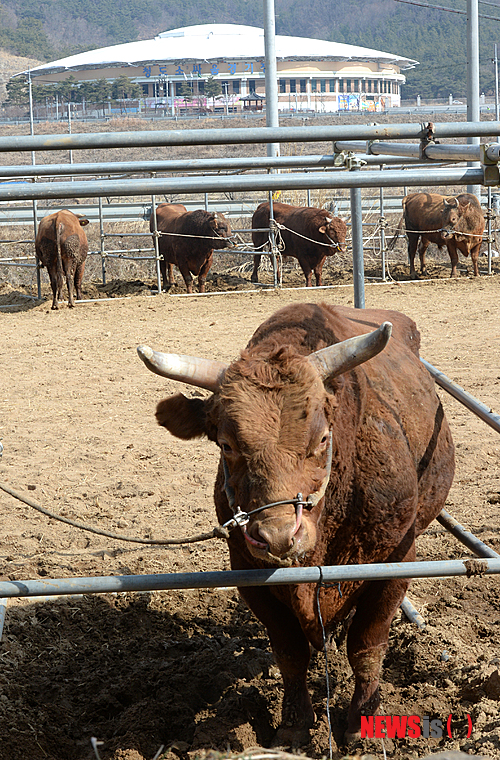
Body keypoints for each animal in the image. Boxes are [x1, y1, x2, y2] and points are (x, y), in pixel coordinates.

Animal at [136, 304, 454, 748]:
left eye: (321, 438)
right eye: (226, 445)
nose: (278, 536)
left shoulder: (396, 562)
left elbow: (366, 646)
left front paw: (363, 722)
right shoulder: (247, 571)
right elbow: (290, 651)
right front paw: (294, 722)